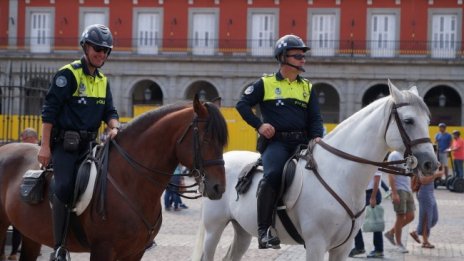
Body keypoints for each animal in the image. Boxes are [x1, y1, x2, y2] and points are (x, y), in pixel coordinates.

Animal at [0, 94, 228, 258]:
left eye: (223, 140)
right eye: (206, 139)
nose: (219, 187)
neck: (131, 181)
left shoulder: (135, 252)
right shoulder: (103, 250)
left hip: (31, 234)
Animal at [192, 80, 438, 258]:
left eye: (428, 120)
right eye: (408, 121)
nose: (431, 164)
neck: (341, 175)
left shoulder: (342, 247)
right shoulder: (316, 244)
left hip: (242, 230)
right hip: (214, 229)